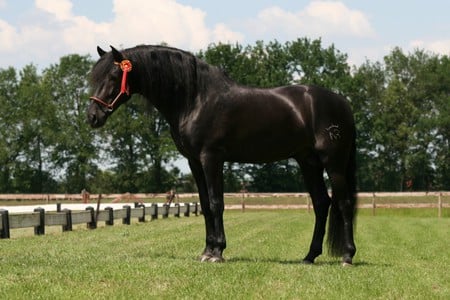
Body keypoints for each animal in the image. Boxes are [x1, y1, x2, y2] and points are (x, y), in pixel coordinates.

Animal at [86, 44, 356, 264]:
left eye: (113, 75)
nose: (92, 116)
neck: (196, 99)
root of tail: (342, 102)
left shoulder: (212, 158)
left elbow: (217, 202)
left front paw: (217, 253)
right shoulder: (194, 161)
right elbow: (205, 205)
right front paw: (207, 250)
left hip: (333, 163)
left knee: (343, 203)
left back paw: (347, 256)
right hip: (308, 162)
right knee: (321, 203)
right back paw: (310, 256)